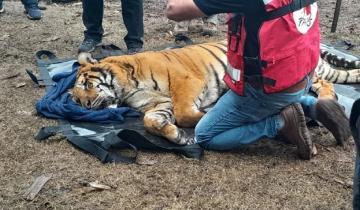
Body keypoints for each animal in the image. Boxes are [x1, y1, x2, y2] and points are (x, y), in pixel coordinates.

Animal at [70, 40, 360, 145]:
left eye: (86, 85)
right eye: (76, 99)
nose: (87, 106)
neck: (127, 88)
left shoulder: (186, 82)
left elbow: (186, 113)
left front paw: (204, 118)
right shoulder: (156, 105)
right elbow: (151, 121)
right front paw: (175, 136)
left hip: (314, 70)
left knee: (328, 82)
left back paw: (328, 101)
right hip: (324, 72)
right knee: (343, 77)